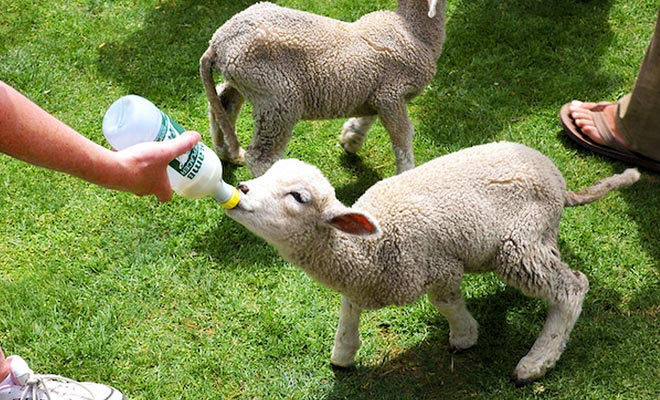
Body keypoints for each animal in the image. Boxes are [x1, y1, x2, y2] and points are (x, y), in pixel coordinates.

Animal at [200, 0, 448, 175]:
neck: (413, 31)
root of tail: (217, 43)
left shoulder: (376, 94)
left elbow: (369, 116)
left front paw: (351, 139)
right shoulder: (391, 94)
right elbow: (403, 138)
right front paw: (406, 176)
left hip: (244, 82)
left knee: (223, 104)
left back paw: (227, 152)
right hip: (277, 98)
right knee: (261, 159)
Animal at [226, 143, 640, 384]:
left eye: (298, 196)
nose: (241, 189)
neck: (373, 247)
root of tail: (557, 179)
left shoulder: (441, 265)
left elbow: (444, 302)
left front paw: (464, 336)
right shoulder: (359, 281)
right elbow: (348, 309)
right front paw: (343, 352)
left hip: (519, 243)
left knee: (573, 287)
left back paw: (537, 361)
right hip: (535, 238)